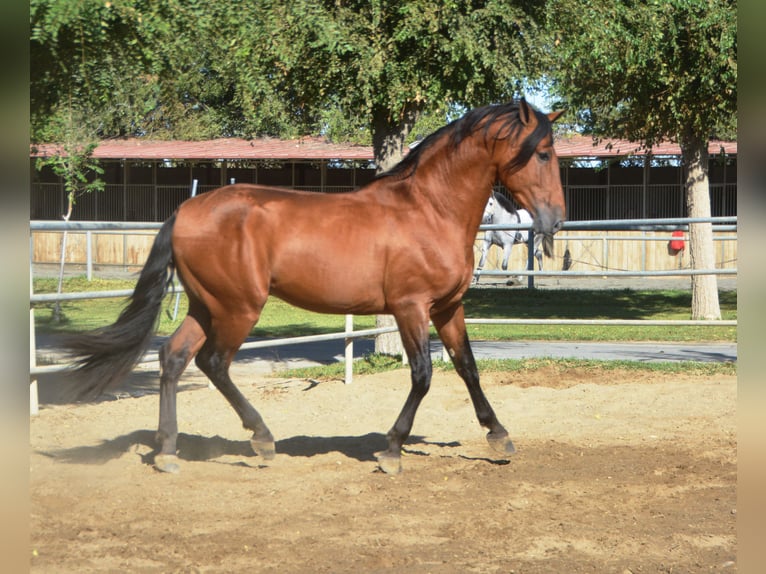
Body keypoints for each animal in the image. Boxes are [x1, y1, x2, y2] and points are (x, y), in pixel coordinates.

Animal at [66, 100, 568, 476]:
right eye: (542, 153)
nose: (555, 220)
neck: (429, 210)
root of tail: (184, 211)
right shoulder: (410, 306)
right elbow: (422, 374)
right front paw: (391, 449)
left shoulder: (448, 307)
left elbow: (467, 367)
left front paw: (498, 436)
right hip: (238, 308)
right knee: (213, 362)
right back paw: (262, 440)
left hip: (207, 306)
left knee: (173, 357)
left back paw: (169, 452)